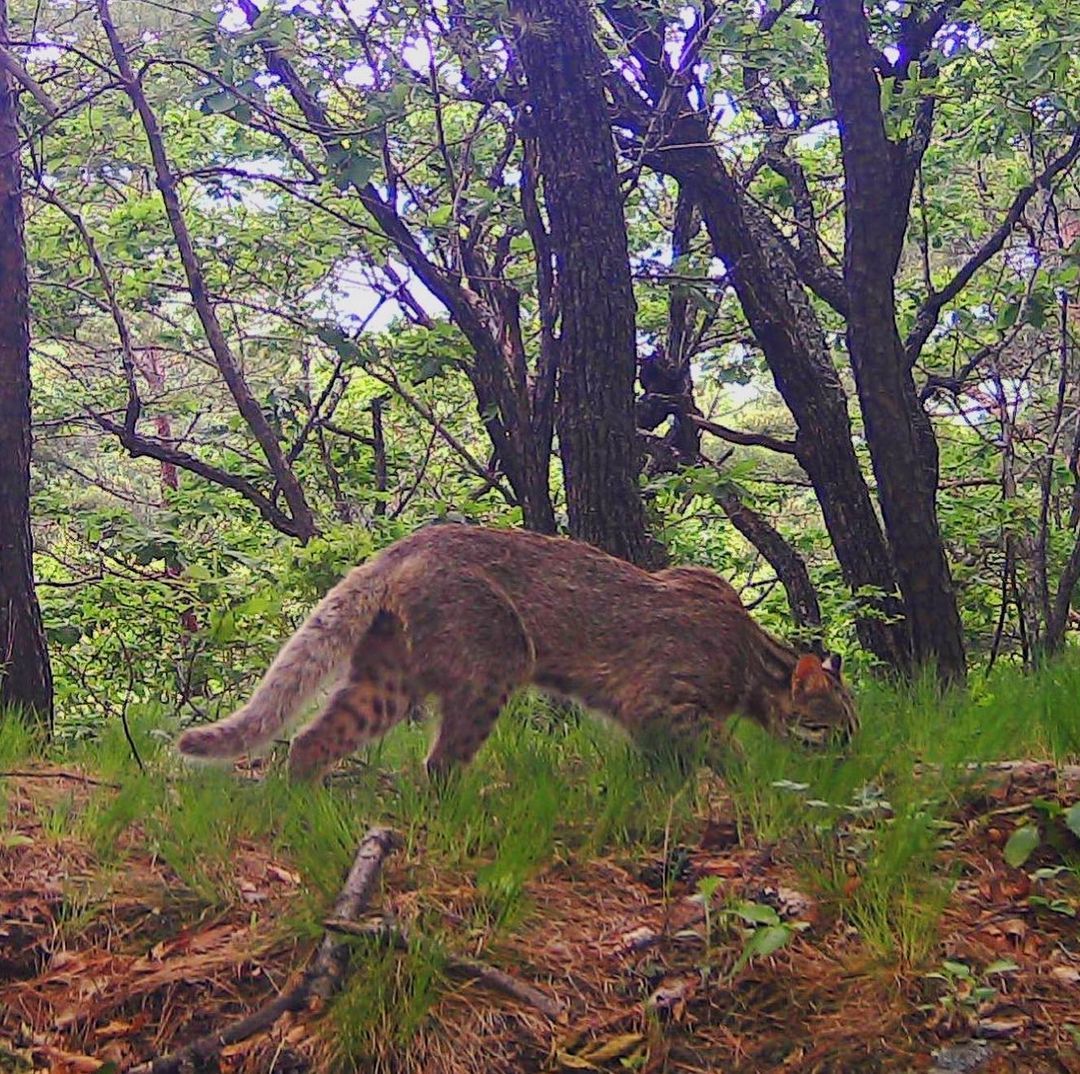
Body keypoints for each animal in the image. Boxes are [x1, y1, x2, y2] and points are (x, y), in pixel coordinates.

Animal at [177, 520, 855, 777]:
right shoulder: (662, 704)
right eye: (832, 729)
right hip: (491, 669)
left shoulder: (650, 722)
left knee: (313, 740)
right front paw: (754, 789)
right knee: (439, 765)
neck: (749, 657)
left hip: (388, 681)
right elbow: (725, 753)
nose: (853, 755)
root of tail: (405, 543)